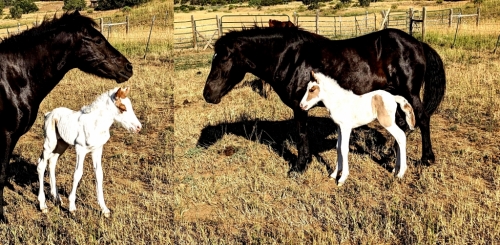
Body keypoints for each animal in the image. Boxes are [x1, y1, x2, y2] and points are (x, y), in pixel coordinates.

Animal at [37, 86, 141, 216]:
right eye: (123, 108)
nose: (138, 127)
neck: (96, 125)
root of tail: (48, 114)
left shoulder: (97, 149)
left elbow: (99, 174)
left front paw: (104, 209)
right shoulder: (80, 149)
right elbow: (77, 174)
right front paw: (72, 207)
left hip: (62, 144)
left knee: (52, 162)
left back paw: (57, 198)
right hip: (50, 143)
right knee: (41, 165)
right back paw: (43, 205)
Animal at [205, 26, 448, 172]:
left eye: (222, 59)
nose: (207, 94)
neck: (289, 58)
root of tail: (418, 44)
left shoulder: (300, 107)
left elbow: (302, 135)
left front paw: (299, 166)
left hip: (410, 92)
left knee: (422, 119)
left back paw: (426, 158)